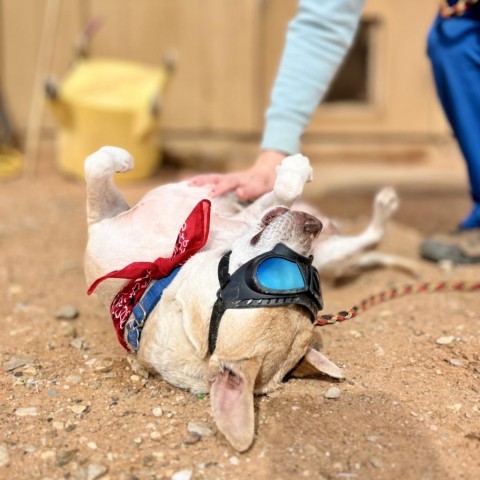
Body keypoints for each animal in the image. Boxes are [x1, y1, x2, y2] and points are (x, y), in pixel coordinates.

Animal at [83, 145, 404, 450]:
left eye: (298, 270)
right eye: (285, 272)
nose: (314, 227)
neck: (165, 264)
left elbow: (282, 193)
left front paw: (294, 169)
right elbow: (95, 163)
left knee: (370, 237)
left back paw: (382, 204)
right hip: (332, 252)